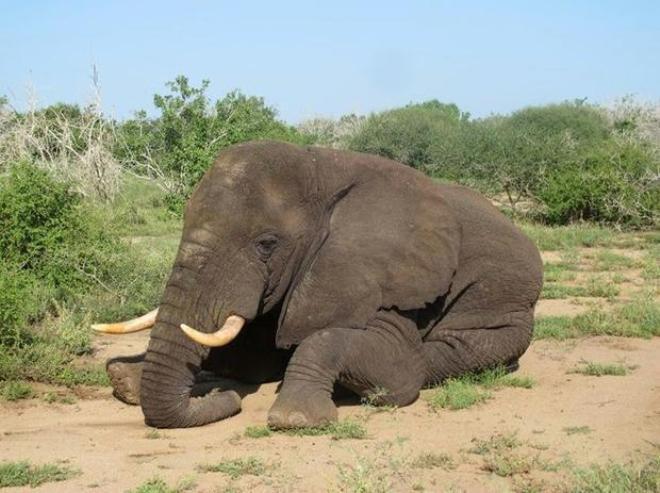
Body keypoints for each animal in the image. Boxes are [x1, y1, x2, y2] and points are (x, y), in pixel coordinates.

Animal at [95, 138, 544, 426]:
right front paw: (124, 379)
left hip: (503, 305)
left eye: (266, 244)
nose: (222, 400)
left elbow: (397, 370)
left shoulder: (388, 280)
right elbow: (250, 354)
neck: (320, 170)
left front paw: (295, 417)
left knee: (448, 353)